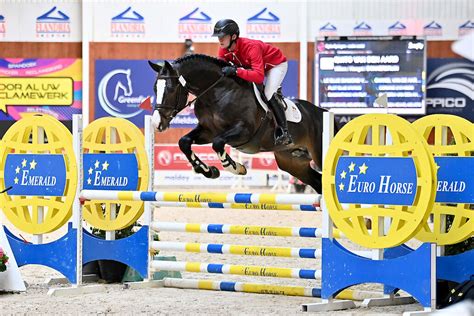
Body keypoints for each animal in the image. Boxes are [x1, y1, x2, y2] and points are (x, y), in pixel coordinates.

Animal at [148, 54, 326, 193]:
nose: (157, 123)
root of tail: (322, 112)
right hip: (292, 162)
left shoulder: (243, 132)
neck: (218, 92)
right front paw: (208, 171)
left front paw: (236, 167)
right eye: (155, 88)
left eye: (171, 89)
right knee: (318, 182)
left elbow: (218, 144)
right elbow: (184, 142)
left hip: (317, 154)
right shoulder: (207, 131)